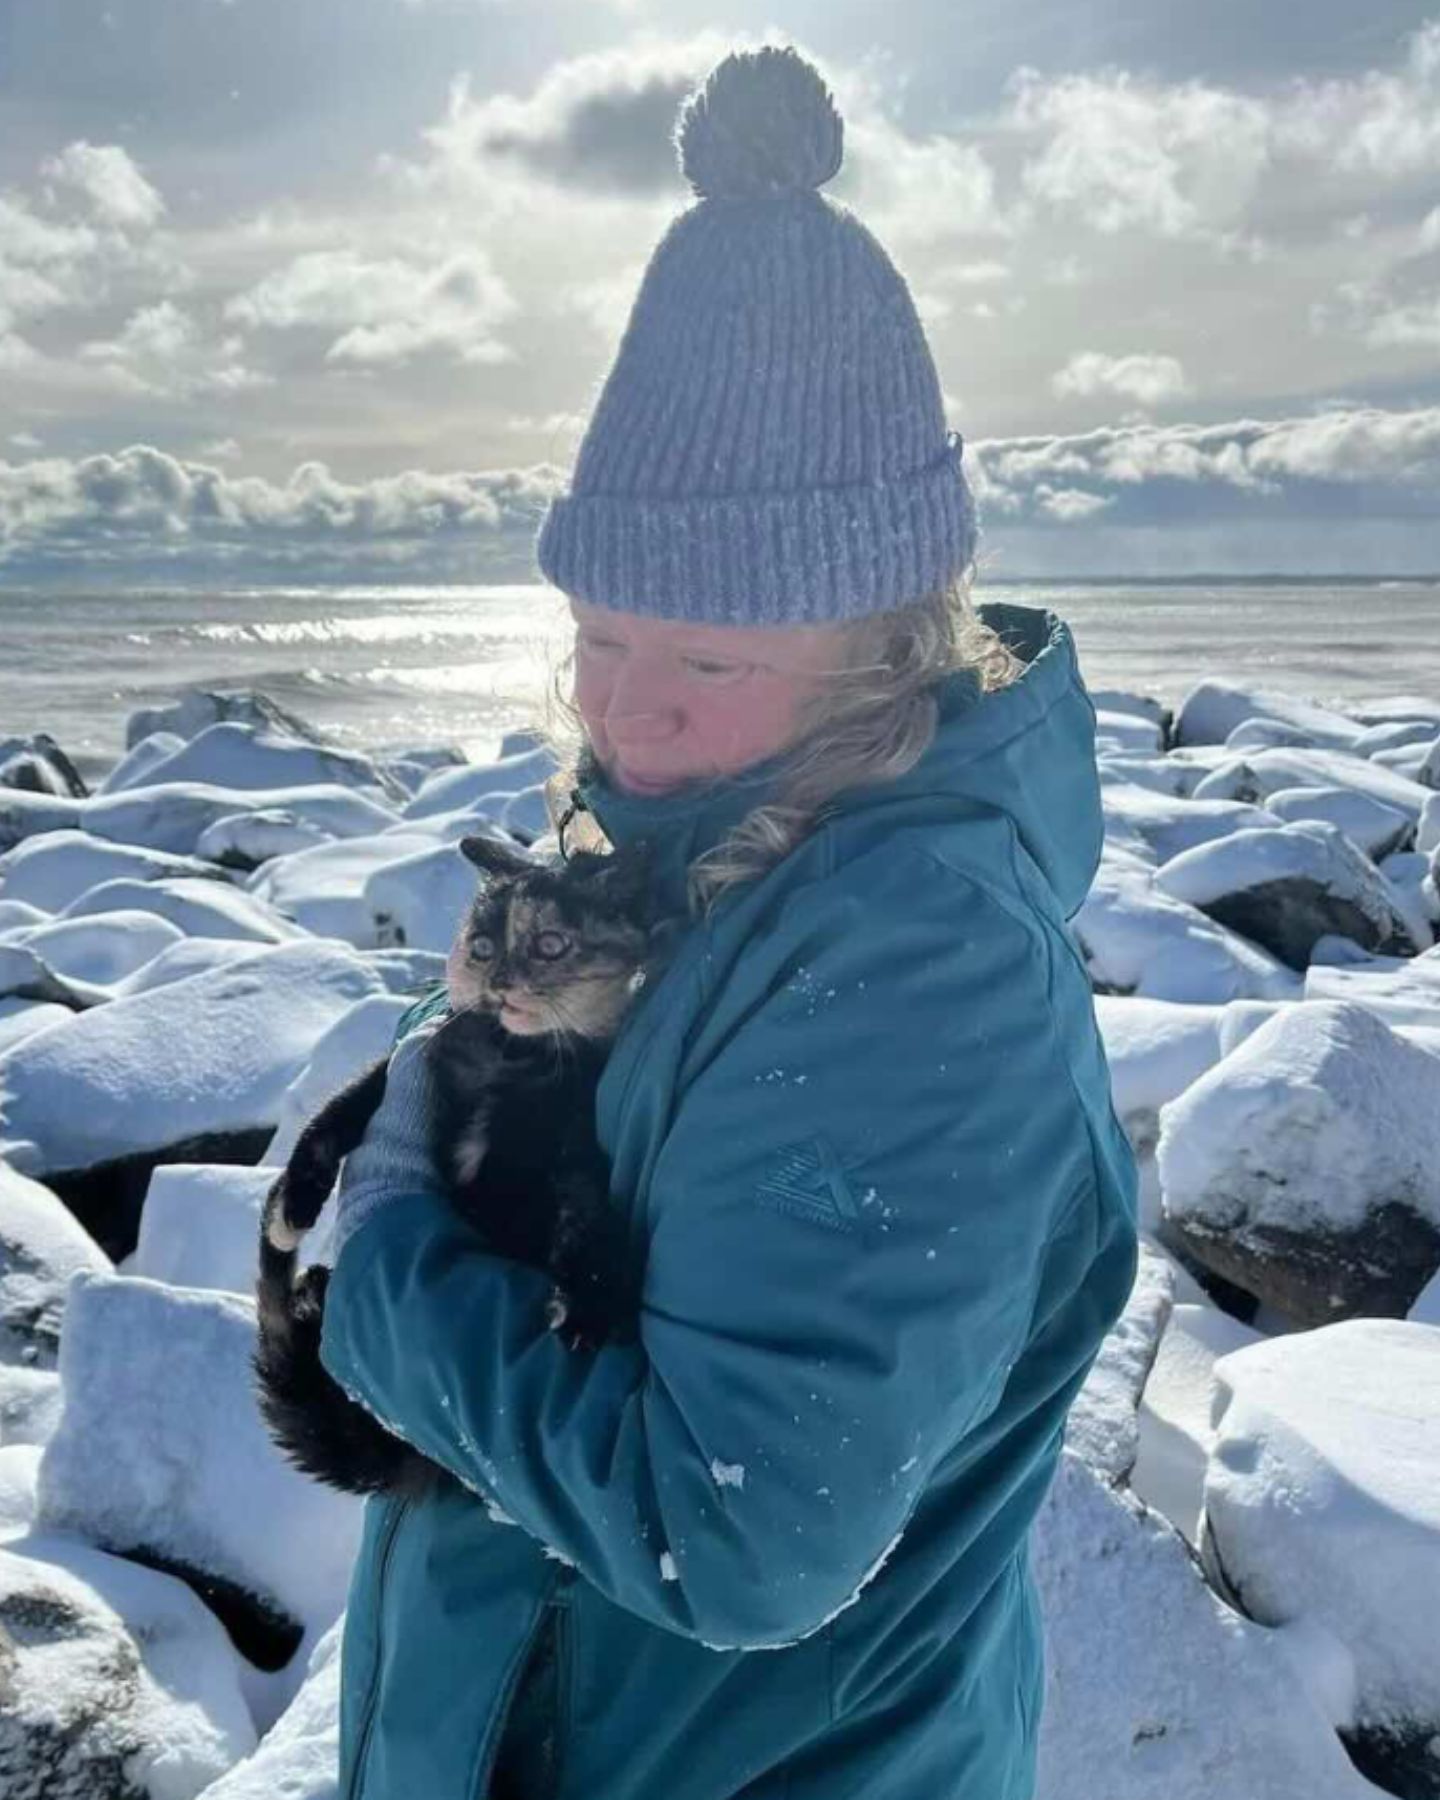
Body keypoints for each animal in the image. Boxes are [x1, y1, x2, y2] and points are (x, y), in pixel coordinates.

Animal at [253, 831, 658, 1504]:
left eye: (551, 944)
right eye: (484, 946)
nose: (499, 980)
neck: (509, 1059)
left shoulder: (575, 1121)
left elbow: (584, 1200)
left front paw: (591, 1301)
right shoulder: (414, 1059)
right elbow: (338, 1110)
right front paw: (293, 1204)